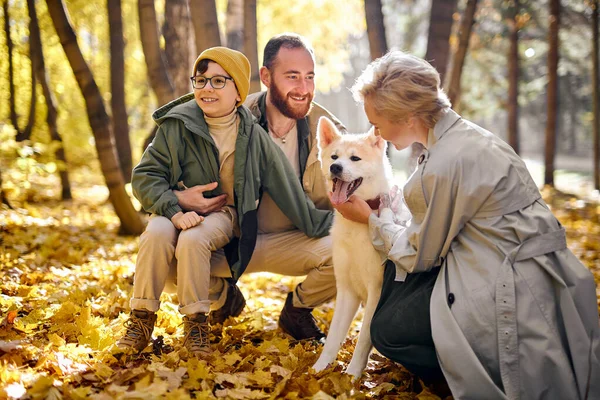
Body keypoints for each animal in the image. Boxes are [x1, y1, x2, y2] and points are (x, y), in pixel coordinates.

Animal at [312, 115, 392, 378]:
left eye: (355, 158)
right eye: (334, 157)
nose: (335, 168)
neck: (357, 226)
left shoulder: (377, 292)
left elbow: (364, 339)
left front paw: (351, 377)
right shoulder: (347, 290)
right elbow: (333, 337)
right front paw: (318, 370)